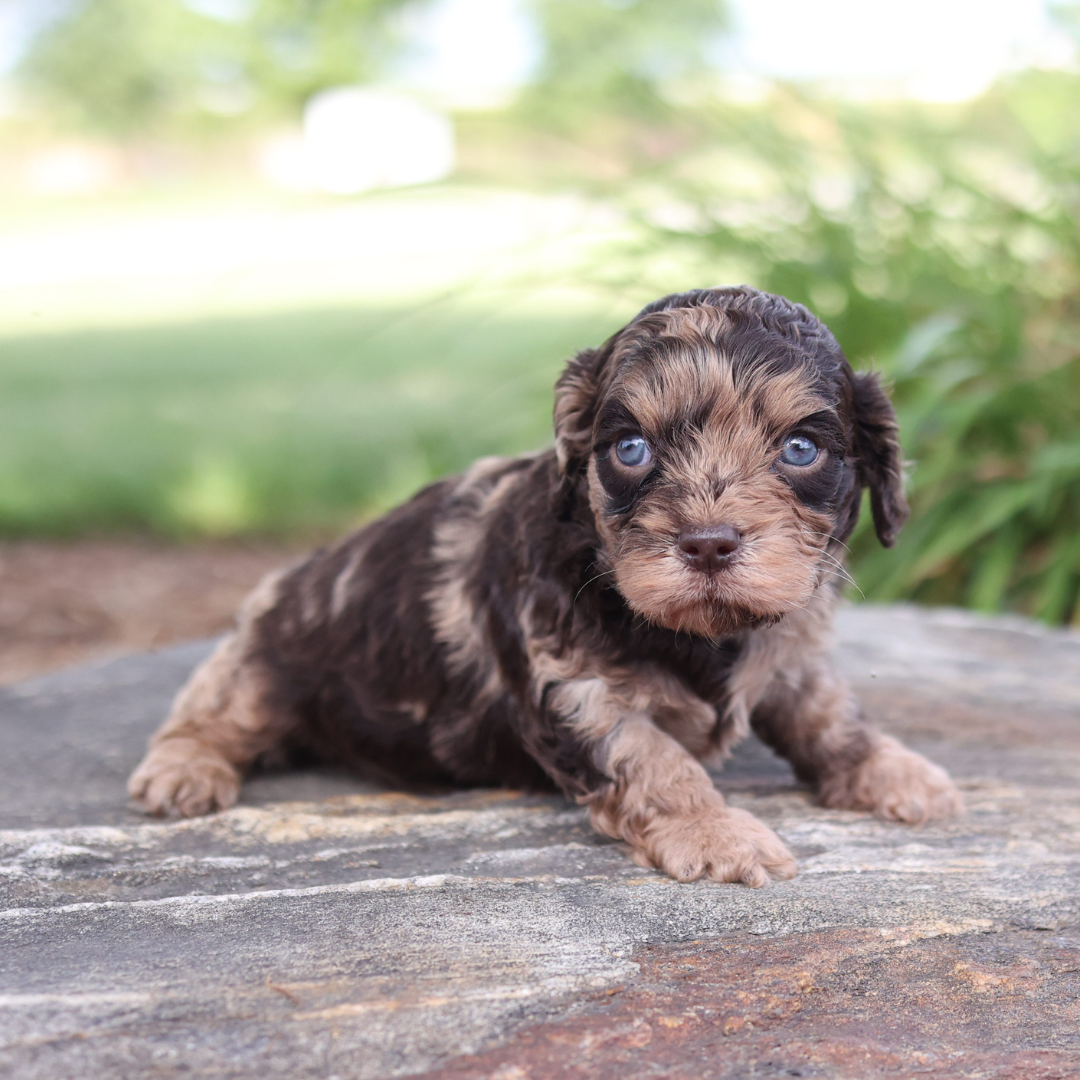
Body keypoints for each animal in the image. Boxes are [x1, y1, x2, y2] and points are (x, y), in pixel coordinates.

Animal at [128, 287, 963, 885]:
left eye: (800, 449)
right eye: (630, 449)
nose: (707, 543)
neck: (698, 635)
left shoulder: (790, 652)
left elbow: (832, 715)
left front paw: (898, 772)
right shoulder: (571, 689)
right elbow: (657, 762)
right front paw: (718, 834)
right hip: (267, 655)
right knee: (212, 711)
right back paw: (181, 771)